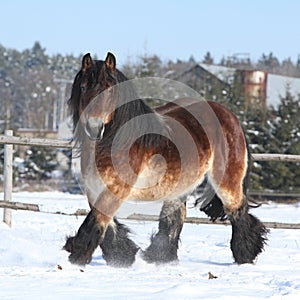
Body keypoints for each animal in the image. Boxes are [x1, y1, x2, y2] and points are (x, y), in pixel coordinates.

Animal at [63, 52, 270, 268]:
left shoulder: (117, 188)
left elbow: (97, 220)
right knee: (175, 217)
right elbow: (105, 222)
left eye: (110, 91)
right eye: (83, 87)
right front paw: (122, 256)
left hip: (227, 181)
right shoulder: (94, 189)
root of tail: (230, 116)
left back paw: (245, 255)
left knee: (237, 211)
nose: (93, 128)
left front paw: (78, 256)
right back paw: (160, 258)